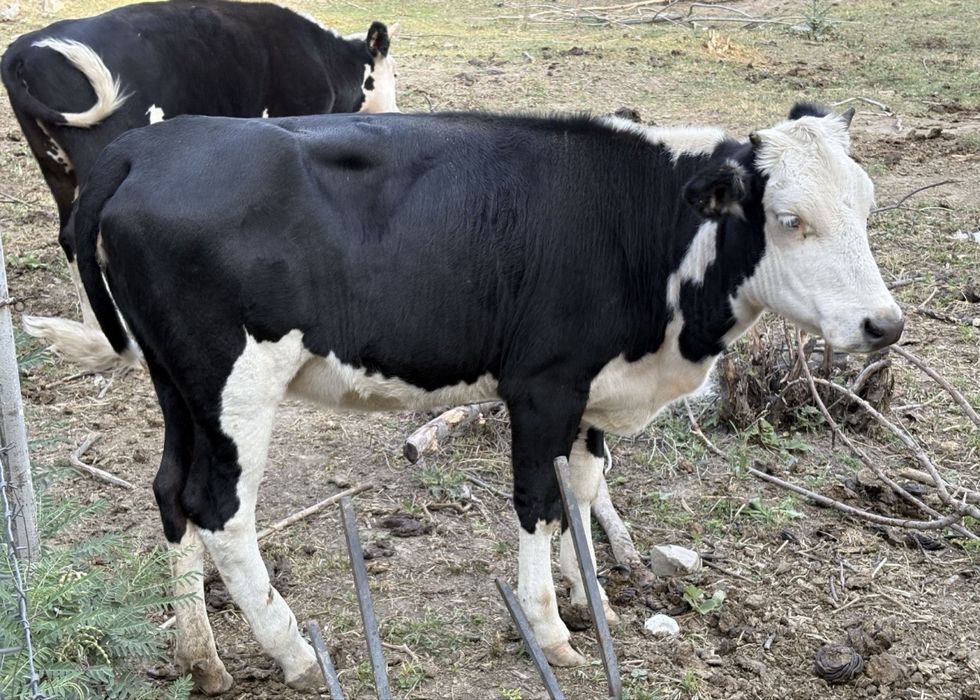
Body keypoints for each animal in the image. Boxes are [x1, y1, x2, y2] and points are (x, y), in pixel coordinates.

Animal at [1, 0, 397, 366]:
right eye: (392, 73)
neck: (325, 60)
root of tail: (23, 48)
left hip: (56, 169)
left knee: (68, 234)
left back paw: (95, 328)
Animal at [73, 104, 903, 693]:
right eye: (790, 220)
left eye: (867, 205)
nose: (884, 324)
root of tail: (145, 146)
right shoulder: (542, 385)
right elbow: (539, 502)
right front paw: (551, 629)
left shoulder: (587, 392)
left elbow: (581, 490)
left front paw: (590, 601)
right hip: (236, 383)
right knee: (221, 510)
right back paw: (295, 652)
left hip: (178, 385)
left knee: (171, 492)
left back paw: (202, 658)